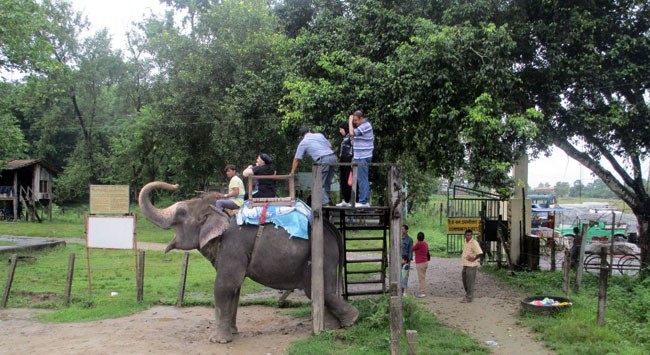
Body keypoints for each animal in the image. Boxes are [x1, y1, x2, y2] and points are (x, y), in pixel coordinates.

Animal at [139, 182, 356, 344]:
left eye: (181, 213)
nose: (175, 185)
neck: (218, 211)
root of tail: (332, 229)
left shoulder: (233, 247)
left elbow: (224, 286)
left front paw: (218, 341)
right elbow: (235, 289)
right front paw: (233, 333)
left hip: (323, 256)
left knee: (320, 291)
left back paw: (350, 321)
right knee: (321, 292)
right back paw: (332, 327)